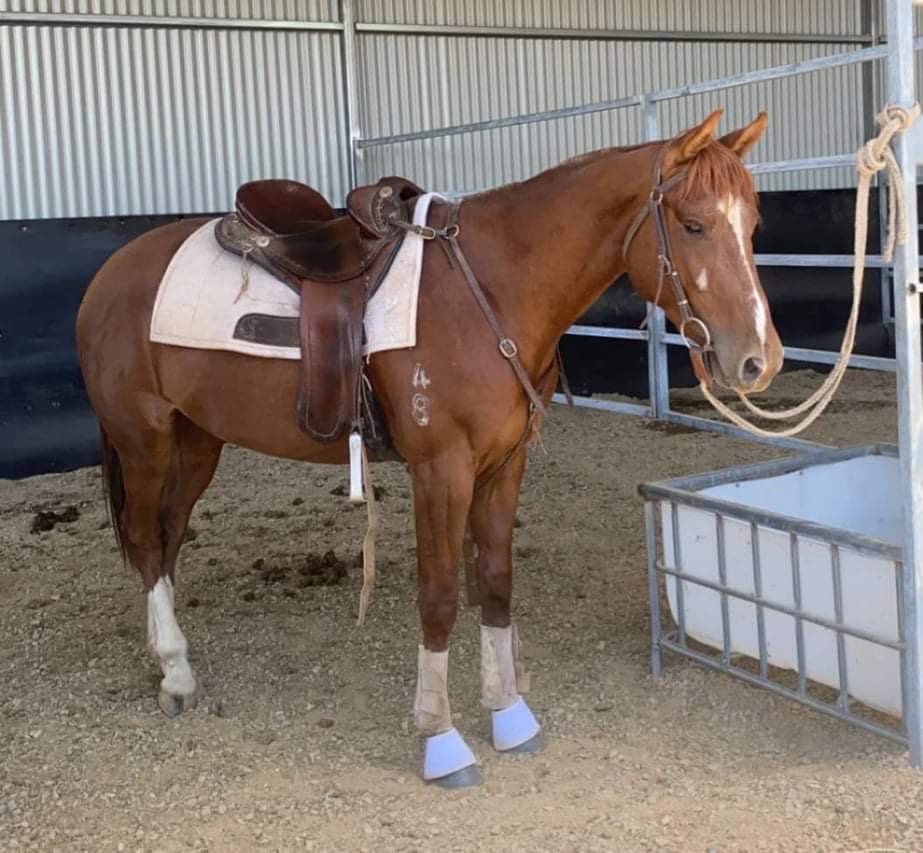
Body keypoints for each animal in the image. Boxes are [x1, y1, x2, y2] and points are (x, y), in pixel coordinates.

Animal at [75, 108, 783, 787]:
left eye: (753, 222)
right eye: (693, 225)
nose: (760, 360)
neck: (493, 286)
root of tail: (112, 272)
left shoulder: (504, 466)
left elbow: (493, 583)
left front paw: (509, 714)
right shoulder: (441, 470)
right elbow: (440, 595)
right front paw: (441, 741)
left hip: (198, 440)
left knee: (167, 537)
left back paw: (162, 653)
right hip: (145, 439)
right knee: (145, 539)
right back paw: (175, 673)